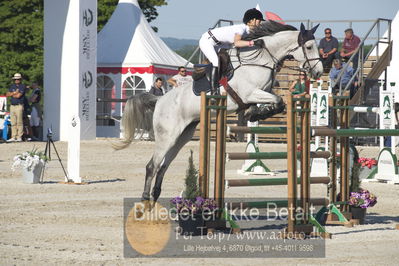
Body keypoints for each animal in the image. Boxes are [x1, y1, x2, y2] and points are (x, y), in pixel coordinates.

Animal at [111, 21, 322, 202]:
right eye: (309, 46)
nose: (319, 72)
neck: (260, 59)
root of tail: (160, 100)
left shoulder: (259, 94)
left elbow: (276, 103)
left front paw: (254, 114)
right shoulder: (250, 93)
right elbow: (278, 101)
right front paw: (257, 114)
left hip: (182, 136)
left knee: (163, 166)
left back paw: (155, 196)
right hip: (167, 136)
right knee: (152, 166)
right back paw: (145, 199)